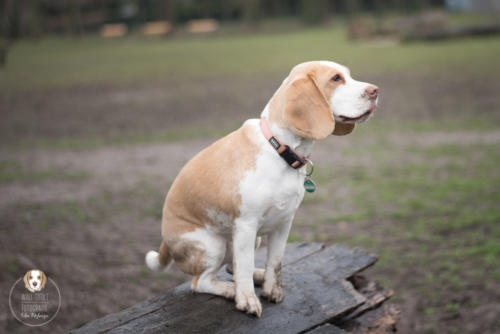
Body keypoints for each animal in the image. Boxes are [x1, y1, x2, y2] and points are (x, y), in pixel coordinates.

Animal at [146, 60, 378, 316]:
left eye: (348, 74)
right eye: (336, 78)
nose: (375, 90)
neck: (280, 149)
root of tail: (166, 242)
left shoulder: (284, 222)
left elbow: (275, 262)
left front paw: (271, 289)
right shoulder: (246, 225)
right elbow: (245, 266)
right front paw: (247, 300)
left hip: (245, 241)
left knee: (232, 266)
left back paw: (254, 277)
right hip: (214, 245)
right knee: (202, 281)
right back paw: (231, 290)